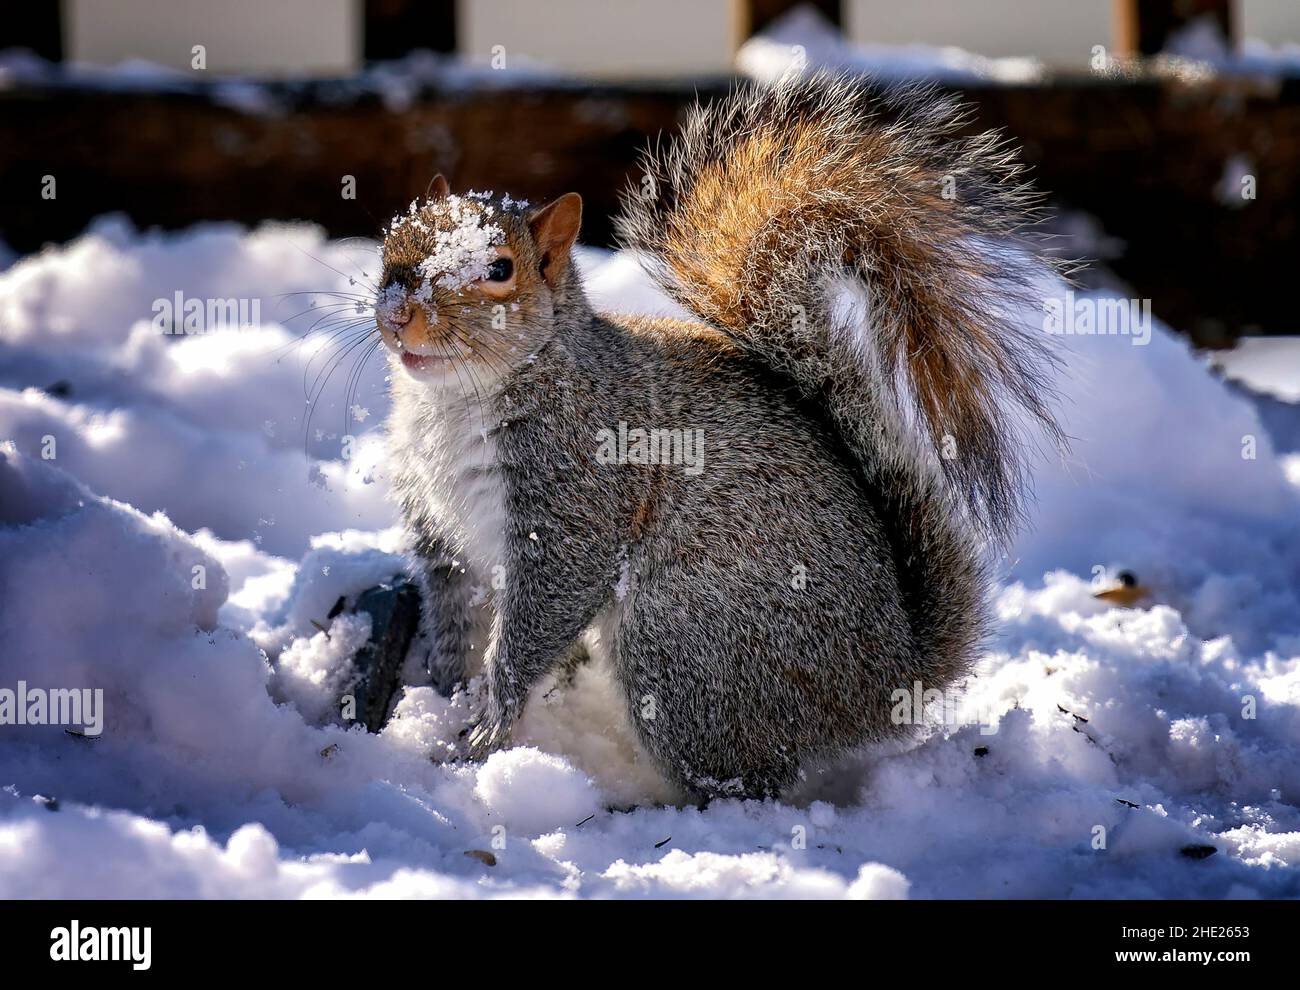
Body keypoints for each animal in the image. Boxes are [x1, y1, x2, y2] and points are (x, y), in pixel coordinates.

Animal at [378, 73, 1061, 801]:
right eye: (392, 242)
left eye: (501, 269)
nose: (397, 314)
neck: (452, 403)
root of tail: (891, 682)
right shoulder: (439, 528)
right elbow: (455, 612)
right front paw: (446, 693)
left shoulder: (574, 499)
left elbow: (542, 611)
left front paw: (487, 729)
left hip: (681, 646)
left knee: (742, 779)